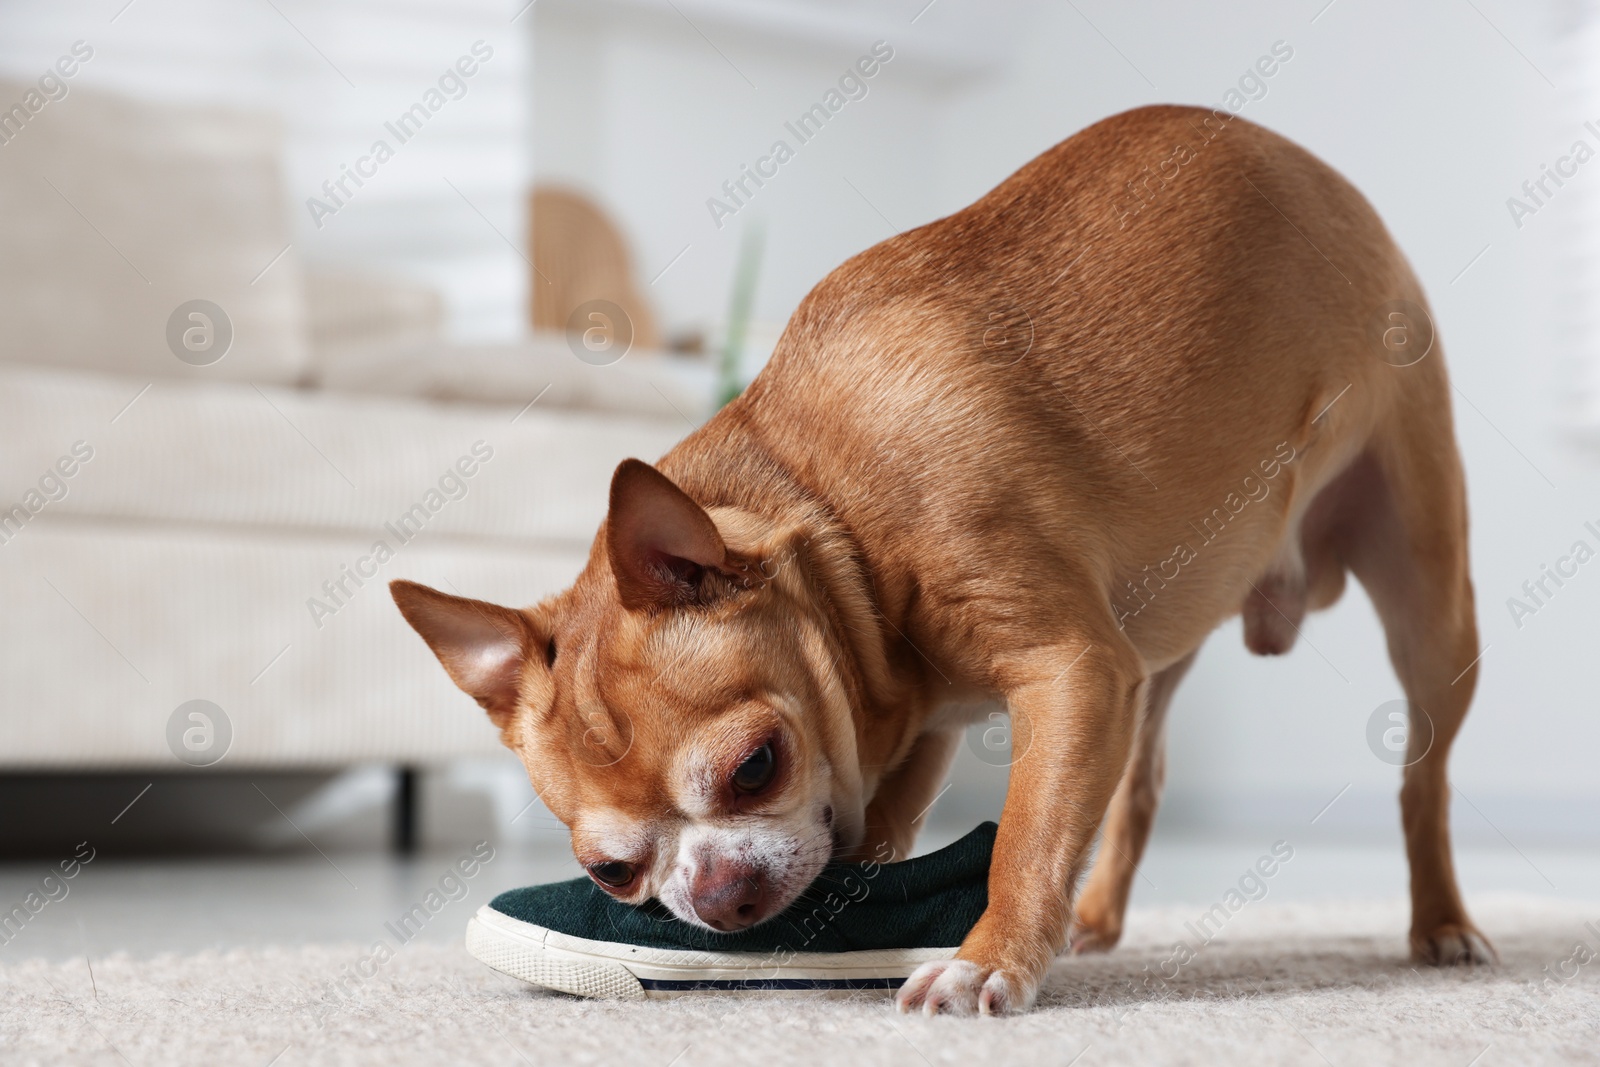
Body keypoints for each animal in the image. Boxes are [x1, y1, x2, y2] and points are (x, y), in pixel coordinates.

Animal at [393, 106, 1491, 1017]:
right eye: (612, 874)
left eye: (756, 766)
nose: (720, 894)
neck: (829, 497)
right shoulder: (926, 721)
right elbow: (887, 826)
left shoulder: (1071, 670)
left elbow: (1027, 835)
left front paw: (985, 961)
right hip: (1161, 641)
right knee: (1141, 777)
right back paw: (1099, 913)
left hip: (1428, 601)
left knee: (1423, 778)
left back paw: (1441, 921)